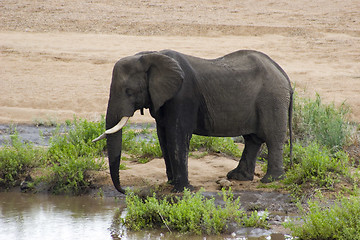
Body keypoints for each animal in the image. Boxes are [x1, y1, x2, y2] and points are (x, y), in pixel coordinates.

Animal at [93, 49, 292, 193]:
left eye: (129, 91)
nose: (125, 191)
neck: (150, 55)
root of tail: (283, 73)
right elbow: (163, 137)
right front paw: (171, 184)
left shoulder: (183, 96)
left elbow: (177, 136)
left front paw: (182, 190)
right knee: (252, 139)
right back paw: (238, 177)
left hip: (272, 99)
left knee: (272, 139)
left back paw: (271, 180)